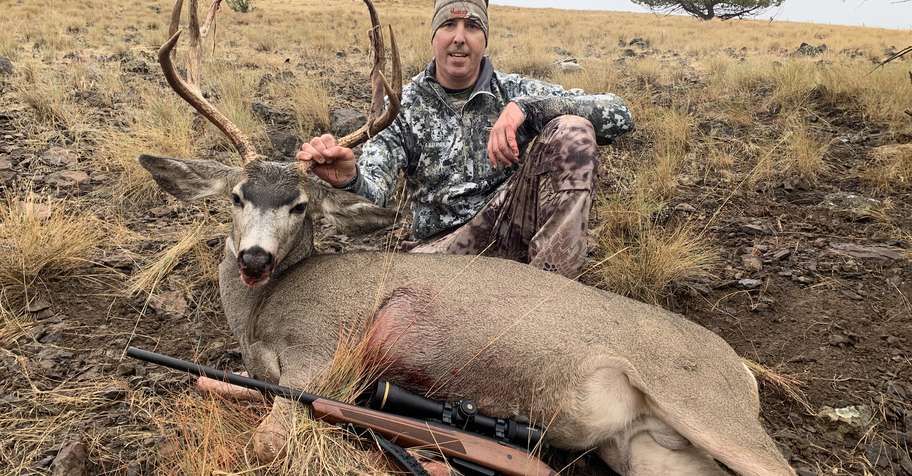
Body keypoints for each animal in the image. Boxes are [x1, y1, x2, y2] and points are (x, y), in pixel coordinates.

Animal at [137, 1, 795, 474]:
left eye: (300, 206)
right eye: (236, 197)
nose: (253, 257)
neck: (263, 315)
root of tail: (742, 373)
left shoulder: (324, 355)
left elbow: (267, 445)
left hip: (709, 407)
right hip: (648, 449)